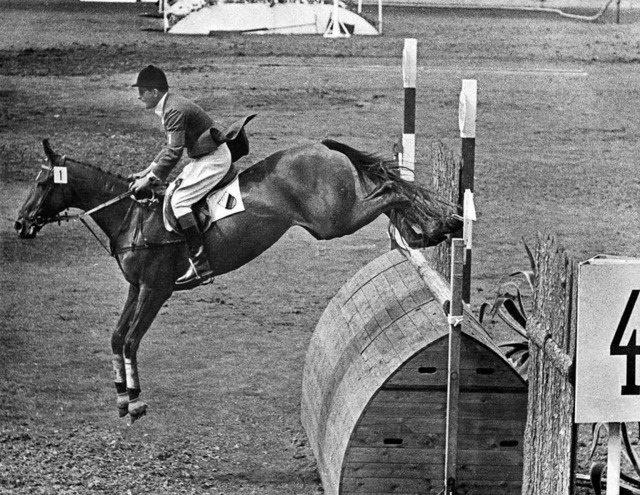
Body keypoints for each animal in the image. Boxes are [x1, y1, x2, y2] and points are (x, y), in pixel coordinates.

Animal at [15, 139, 460, 422]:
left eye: (42, 183)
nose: (19, 224)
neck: (131, 217)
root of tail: (322, 146)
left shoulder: (155, 291)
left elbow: (130, 340)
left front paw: (136, 401)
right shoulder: (136, 288)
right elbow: (116, 337)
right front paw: (122, 396)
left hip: (335, 220)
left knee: (390, 191)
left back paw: (438, 226)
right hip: (333, 221)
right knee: (389, 193)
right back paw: (423, 234)